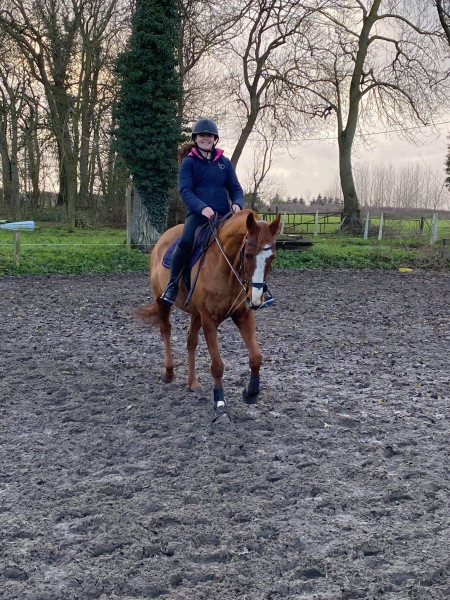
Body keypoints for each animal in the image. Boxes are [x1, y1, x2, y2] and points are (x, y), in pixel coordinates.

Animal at [136, 209, 281, 417]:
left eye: (272, 257)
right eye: (248, 255)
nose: (255, 299)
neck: (225, 268)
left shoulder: (243, 315)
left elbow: (256, 357)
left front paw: (250, 393)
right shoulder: (209, 320)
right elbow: (217, 365)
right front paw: (220, 403)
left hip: (196, 314)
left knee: (191, 342)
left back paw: (192, 382)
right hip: (162, 301)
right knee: (166, 331)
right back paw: (169, 372)